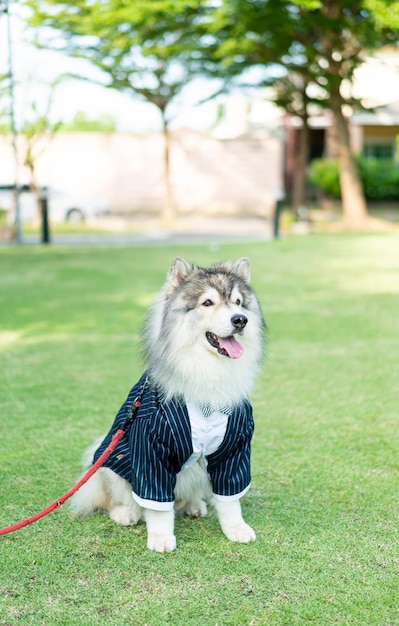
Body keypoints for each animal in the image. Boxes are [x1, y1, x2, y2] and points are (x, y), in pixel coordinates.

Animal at [72, 256, 266, 548]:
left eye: (238, 302)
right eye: (207, 303)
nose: (240, 320)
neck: (207, 370)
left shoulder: (234, 448)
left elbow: (230, 501)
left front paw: (236, 528)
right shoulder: (150, 449)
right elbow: (156, 505)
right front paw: (161, 537)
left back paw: (193, 505)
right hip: (112, 461)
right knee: (116, 499)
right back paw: (126, 513)